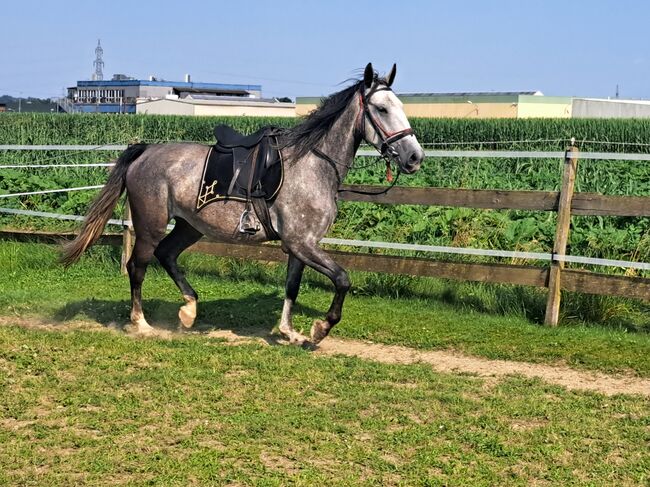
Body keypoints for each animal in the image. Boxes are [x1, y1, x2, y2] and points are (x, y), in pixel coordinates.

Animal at [60, 63, 426, 346]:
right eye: (382, 109)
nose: (414, 157)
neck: (312, 163)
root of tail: (145, 151)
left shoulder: (300, 245)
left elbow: (292, 286)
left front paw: (289, 333)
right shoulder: (301, 243)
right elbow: (343, 278)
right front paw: (320, 329)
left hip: (190, 226)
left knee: (167, 255)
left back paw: (189, 310)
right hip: (151, 224)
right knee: (138, 265)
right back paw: (142, 324)